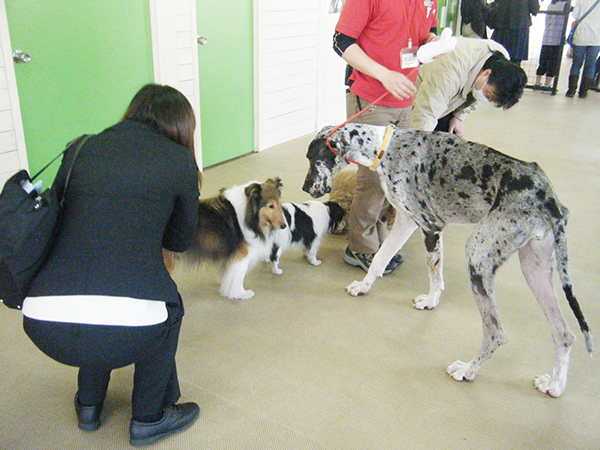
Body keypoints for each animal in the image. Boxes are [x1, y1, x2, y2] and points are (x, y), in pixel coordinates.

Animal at [302, 122, 592, 398]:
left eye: (313, 158)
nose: (305, 187)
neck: (386, 148)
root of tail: (549, 198)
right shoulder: (406, 223)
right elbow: (380, 260)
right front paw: (364, 286)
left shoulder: (430, 227)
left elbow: (433, 274)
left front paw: (430, 302)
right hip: (534, 268)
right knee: (564, 334)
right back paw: (554, 385)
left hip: (477, 256)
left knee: (496, 333)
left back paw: (467, 370)